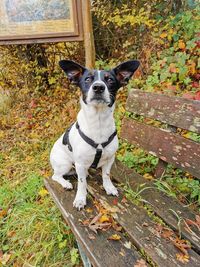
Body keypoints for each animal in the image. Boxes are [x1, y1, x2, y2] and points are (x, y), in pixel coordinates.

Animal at [50, 59, 140, 210]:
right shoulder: (80, 163)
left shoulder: (109, 159)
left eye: (109, 80)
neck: (98, 123)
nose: (98, 87)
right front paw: (80, 199)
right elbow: (82, 184)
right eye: (87, 79)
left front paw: (109, 187)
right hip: (65, 164)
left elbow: (106, 175)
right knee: (55, 176)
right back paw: (66, 183)